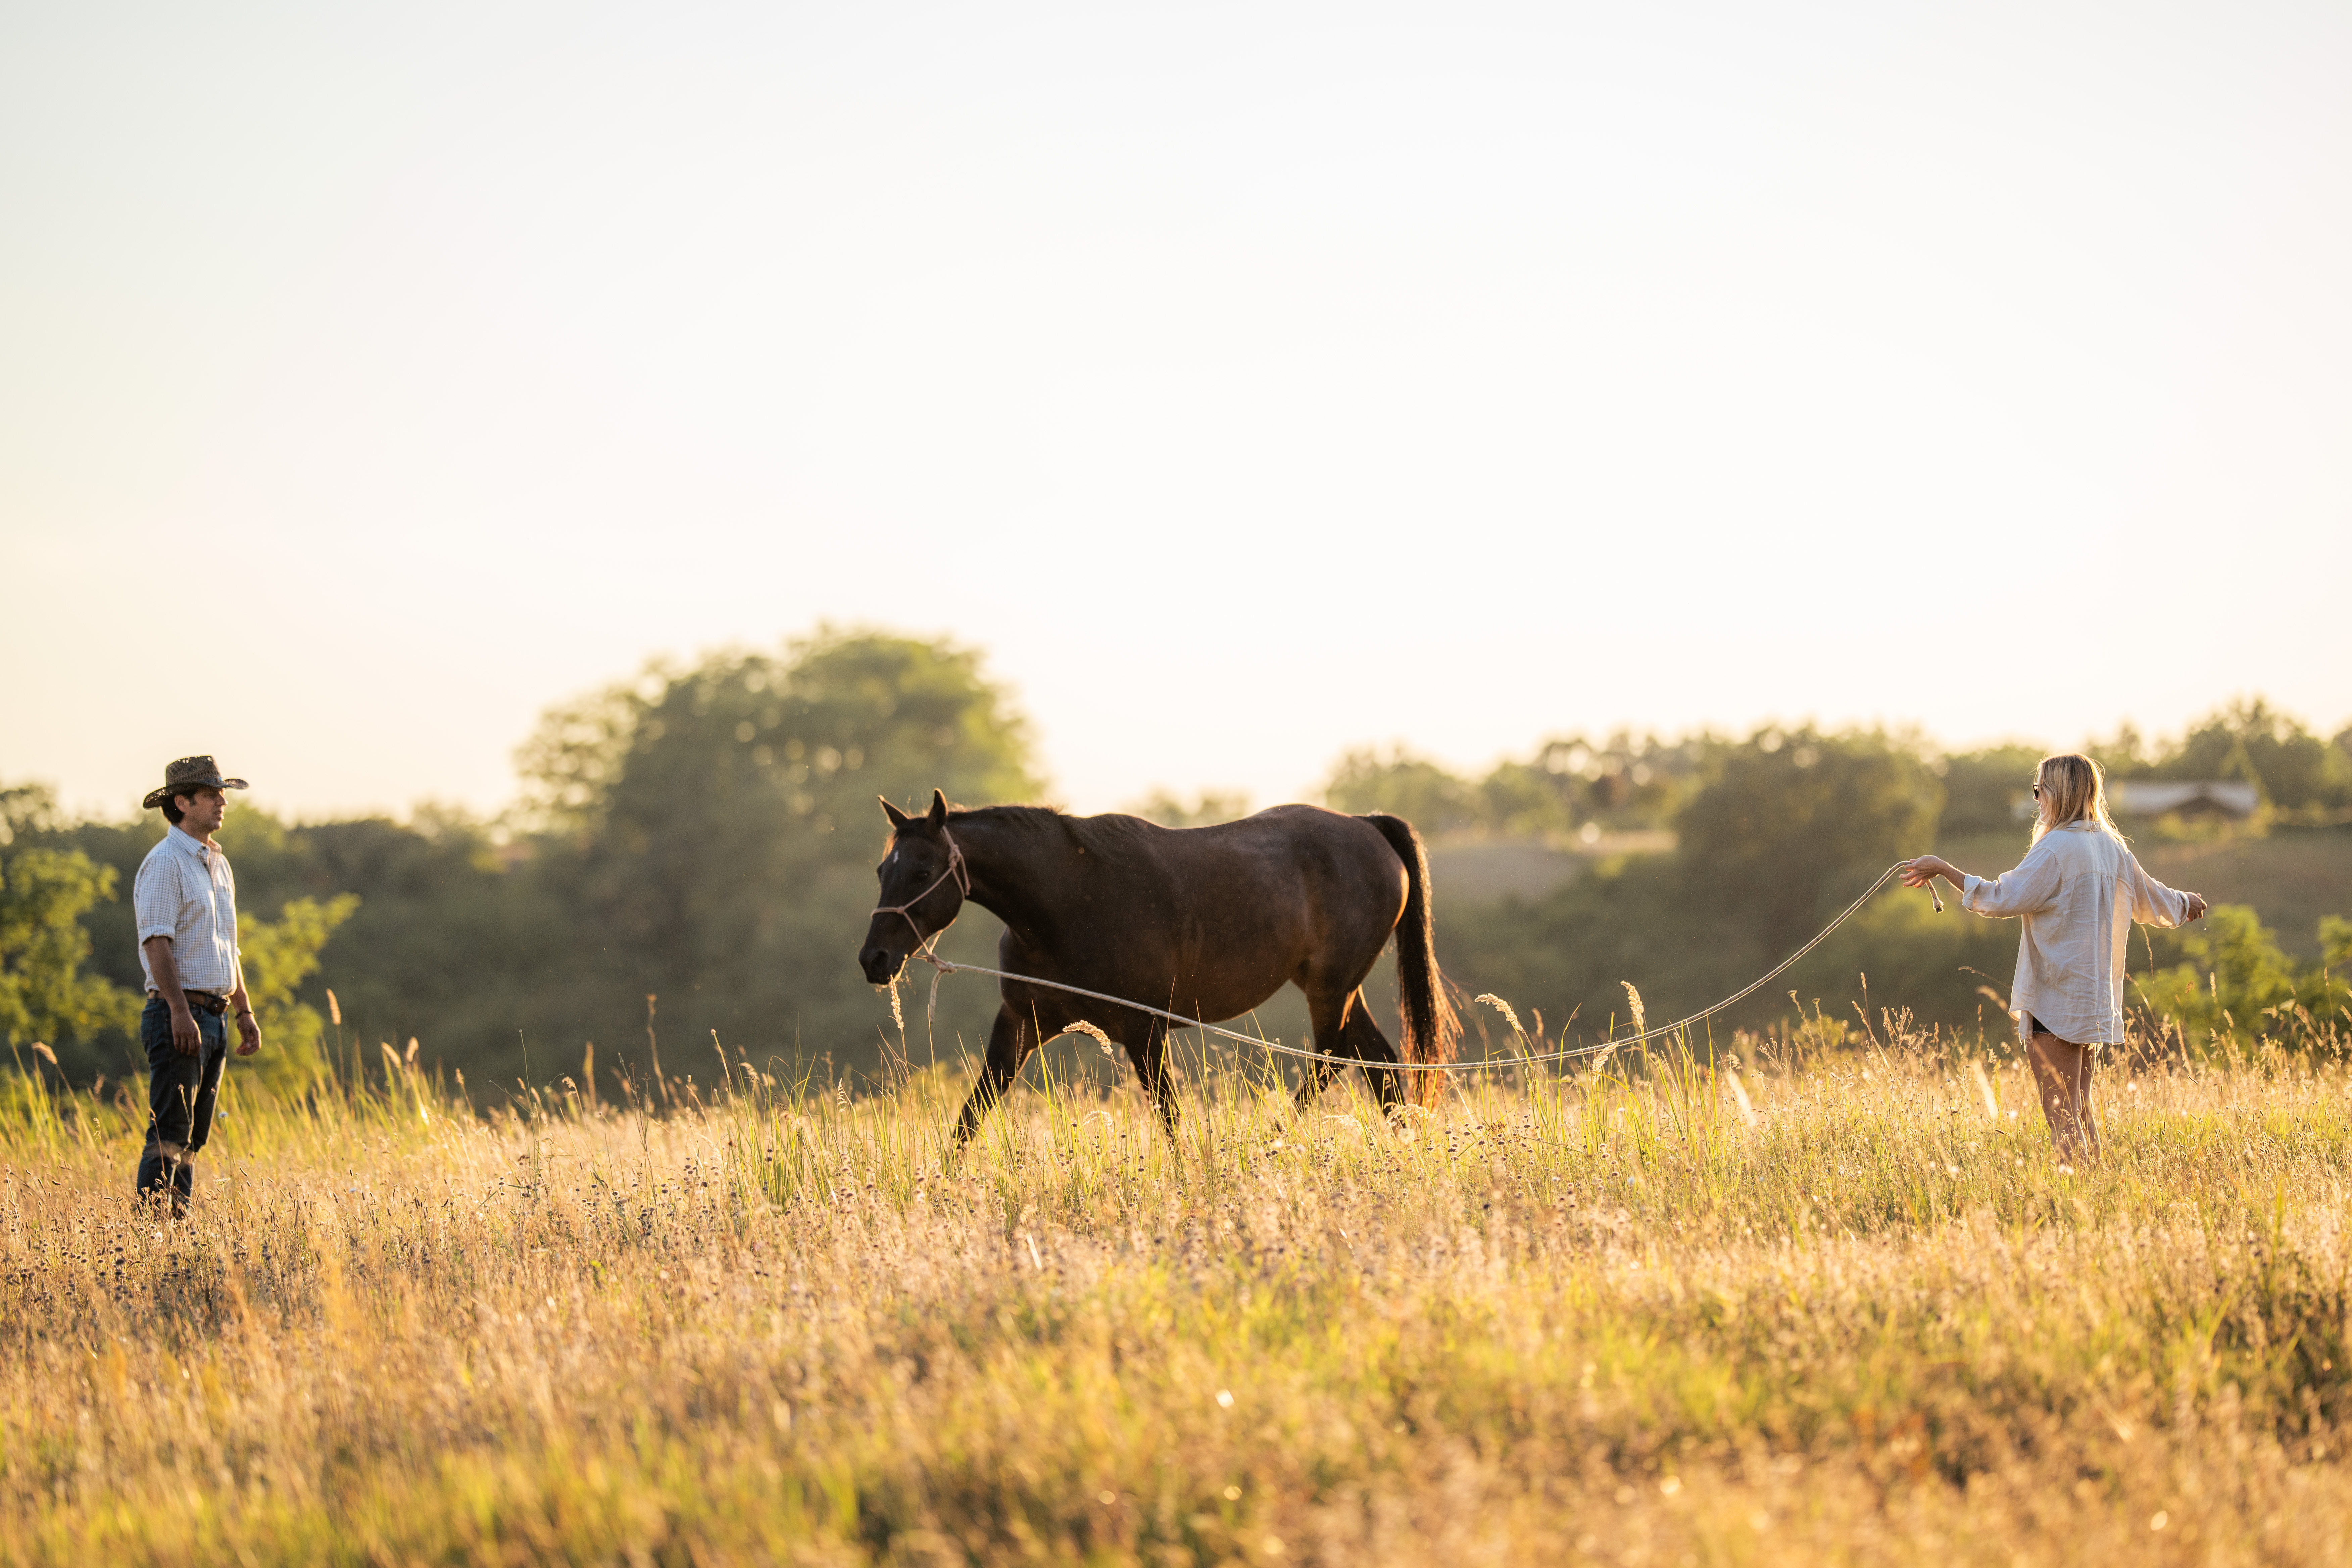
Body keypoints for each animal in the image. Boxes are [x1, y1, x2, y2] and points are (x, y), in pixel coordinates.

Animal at [857, 790, 1460, 1144]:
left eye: (922, 871)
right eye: (884, 869)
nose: (874, 959)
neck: (1069, 903)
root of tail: (1367, 826)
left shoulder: (1144, 1029)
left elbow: (1170, 1119)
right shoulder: (1022, 1024)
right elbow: (971, 1115)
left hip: (1330, 988)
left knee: (1332, 1058)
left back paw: (1268, 1141)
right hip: (1333, 987)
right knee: (1377, 1063)